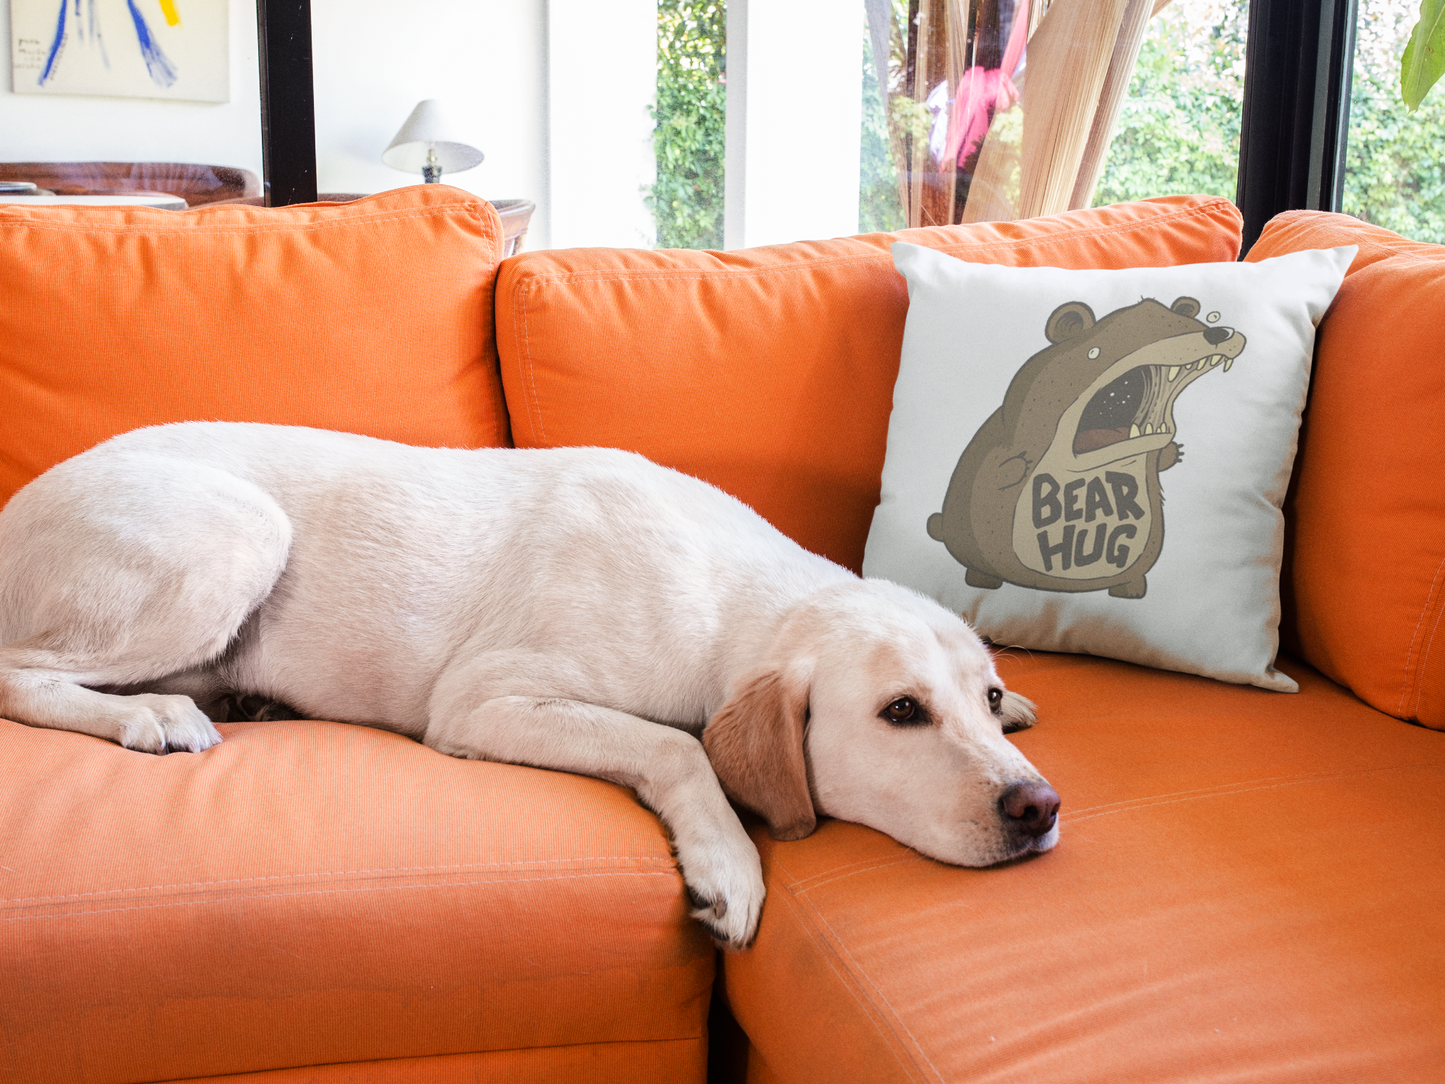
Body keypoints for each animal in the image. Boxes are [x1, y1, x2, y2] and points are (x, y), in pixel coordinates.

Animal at [925, 296, 1246, 599]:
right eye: (1095, 352)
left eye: (1187, 322)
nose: (1217, 332)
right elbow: (1000, 468)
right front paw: (1017, 466)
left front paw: (1172, 452)